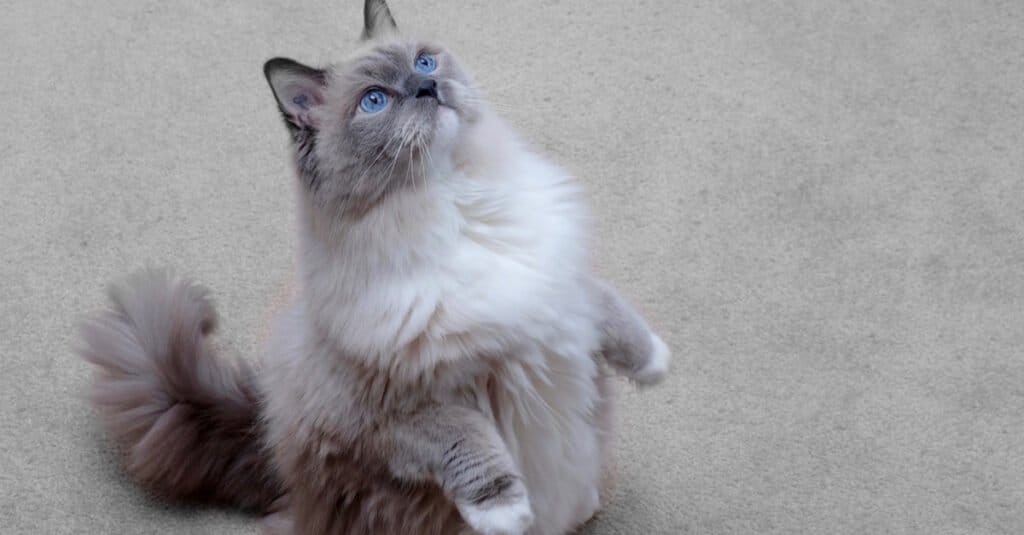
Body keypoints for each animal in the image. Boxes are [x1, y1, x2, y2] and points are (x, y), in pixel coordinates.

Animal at [72, 2, 667, 528]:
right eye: (375, 101)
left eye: (424, 63)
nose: (427, 88)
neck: (459, 205)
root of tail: (264, 439)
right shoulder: (398, 410)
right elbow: (469, 444)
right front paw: (503, 510)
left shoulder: (560, 283)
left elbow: (615, 315)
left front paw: (656, 364)